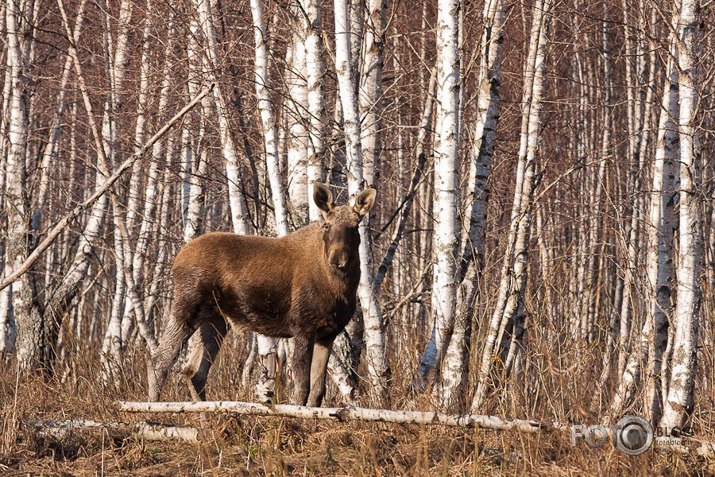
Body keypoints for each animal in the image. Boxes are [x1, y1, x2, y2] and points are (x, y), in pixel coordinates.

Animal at [148, 182, 378, 406]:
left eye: (355, 227)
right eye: (327, 225)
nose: (338, 259)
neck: (340, 289)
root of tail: (177, 260)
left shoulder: (328, 334)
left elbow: (318, 390)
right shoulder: (302, 328)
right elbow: (302, 387)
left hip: (215, 319)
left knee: (193, 372)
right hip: (187, 306)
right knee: (160, 361)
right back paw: (153, 406)